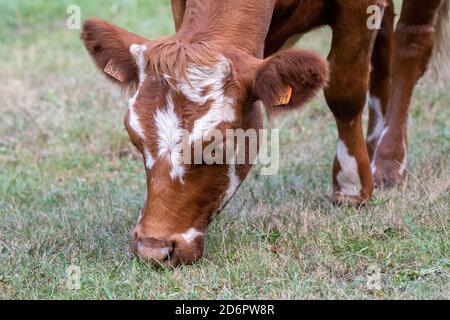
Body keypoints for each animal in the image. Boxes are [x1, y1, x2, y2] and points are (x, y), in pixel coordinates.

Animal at [81, 0, 450, 266]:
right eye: (135, 137)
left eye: (217, 145)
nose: (154, 248)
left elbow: (345, 89)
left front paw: (350, 185)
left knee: (410, 43)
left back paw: (388, 161)